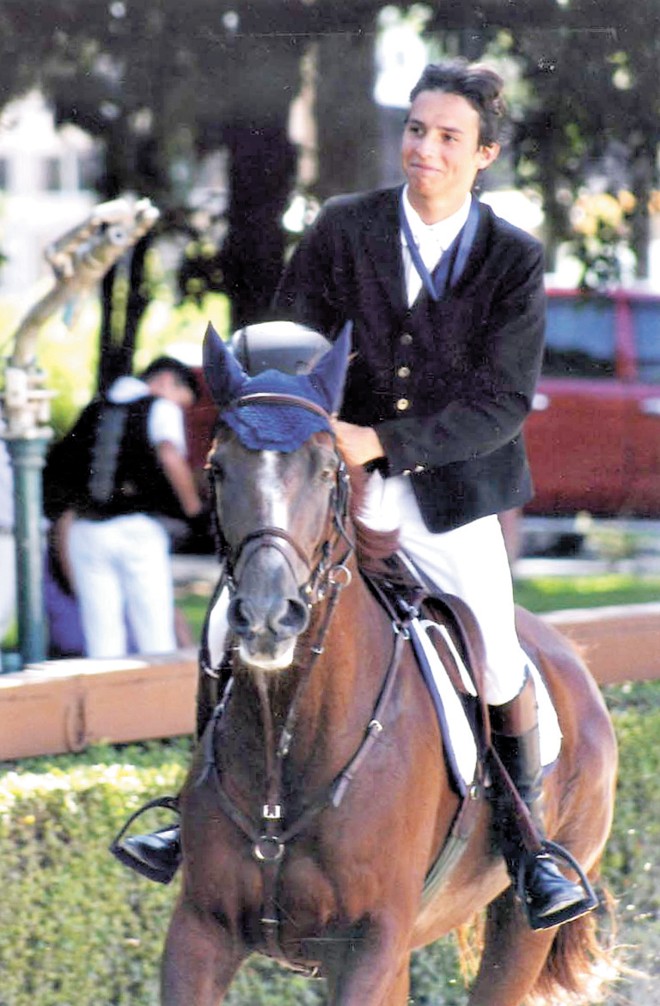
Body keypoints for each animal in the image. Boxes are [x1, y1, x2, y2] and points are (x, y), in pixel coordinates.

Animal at [161, 322, 618, 1006]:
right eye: (217, 468)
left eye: (328, 470)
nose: (268, 616)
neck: (289, 734)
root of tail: (575, 660)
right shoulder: (199, 931)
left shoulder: (374, 949)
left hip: (520, 927)